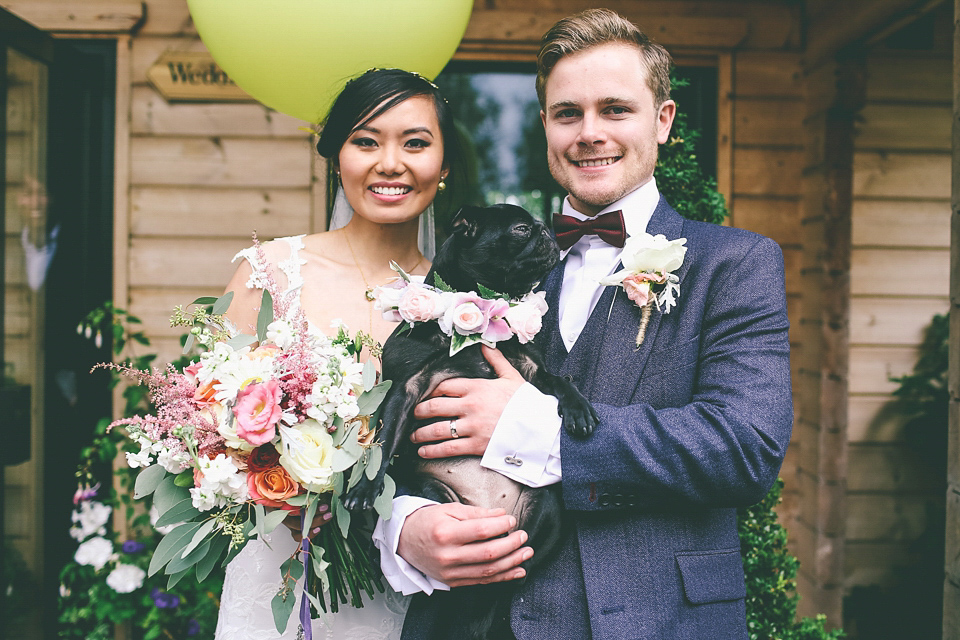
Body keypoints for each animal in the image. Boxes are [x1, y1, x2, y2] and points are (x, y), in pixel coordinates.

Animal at [344, 204, 596, 640]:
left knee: (516, 565)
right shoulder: (406, 388)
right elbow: (384, 441)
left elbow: (561, 382)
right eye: (522, 229)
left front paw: (579, 408)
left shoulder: (533, 372)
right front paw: (365, 488)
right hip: (437, 497)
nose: (548, 230)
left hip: (546, 507)